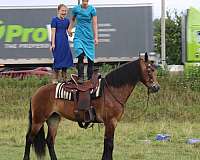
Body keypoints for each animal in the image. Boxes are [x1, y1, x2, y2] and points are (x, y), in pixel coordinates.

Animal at [22, 52, 159, 160]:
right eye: (149, 70)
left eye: (154, 70)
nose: (156, 87)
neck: (111, 90)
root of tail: (36, 93)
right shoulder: (110, 122)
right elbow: (109, 144)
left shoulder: (112, 123)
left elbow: (108, 144)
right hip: (38, 120)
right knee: (29, 138)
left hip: (53, 119)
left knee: (50, 141)